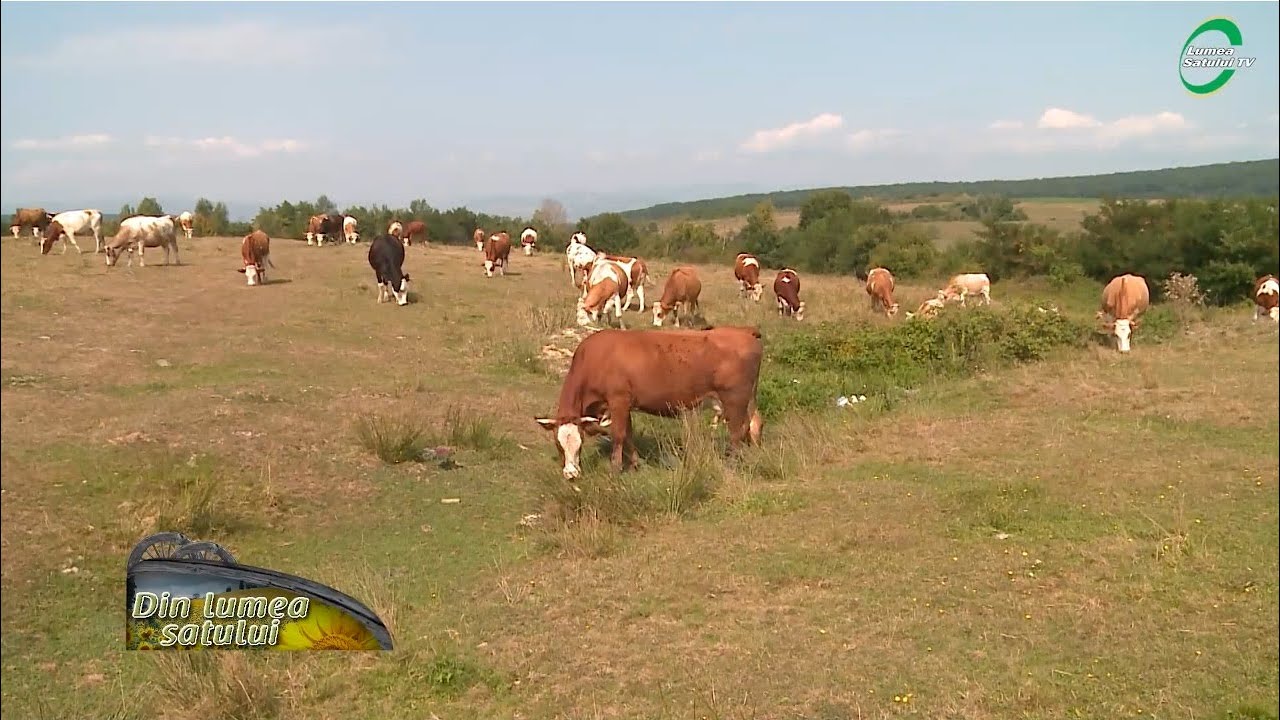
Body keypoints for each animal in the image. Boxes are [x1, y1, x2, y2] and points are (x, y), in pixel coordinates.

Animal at [534, 326, 765, 479]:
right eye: (558, 445)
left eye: (580, 444)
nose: (571, 474)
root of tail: (745, 332)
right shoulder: (625, 404)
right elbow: (628, 434)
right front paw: (636, 464)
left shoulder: (618, 400)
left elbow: (619, 435)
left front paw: (615, 470)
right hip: (744, 400)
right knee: (754, 424)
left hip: (734, 400)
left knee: (736, 432)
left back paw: (732, 464)